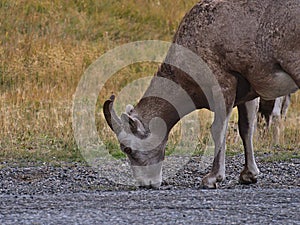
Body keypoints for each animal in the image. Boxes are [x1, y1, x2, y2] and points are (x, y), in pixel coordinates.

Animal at [103, 0, 300, 188]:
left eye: (127, 149)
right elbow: (247, 129)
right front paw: (248, 175)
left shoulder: (223, 85)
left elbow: (218, 129)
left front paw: (212, 179)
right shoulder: (248, 95)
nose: (146, 184)